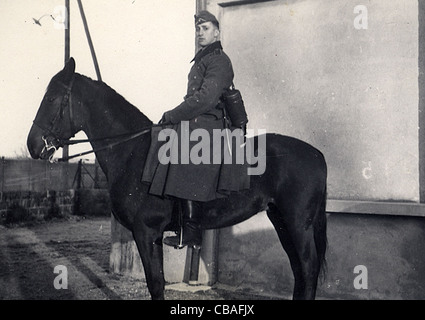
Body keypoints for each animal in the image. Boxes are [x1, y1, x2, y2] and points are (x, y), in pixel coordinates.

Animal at [26, 58, 326, 300]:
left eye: (51, 99)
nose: (33, 145)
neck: (133, 150)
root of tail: (317, 154)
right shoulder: (153, 235)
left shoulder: (145, 232)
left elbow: (156, 284)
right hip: (282, 221)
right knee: (299, 270)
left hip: (298, 224)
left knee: (308, 268)